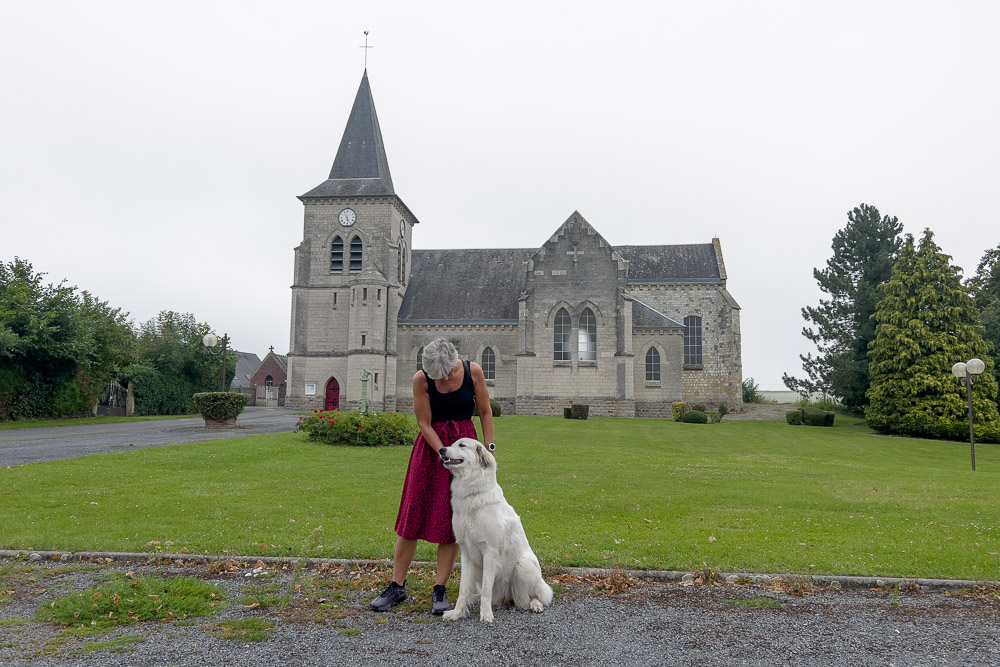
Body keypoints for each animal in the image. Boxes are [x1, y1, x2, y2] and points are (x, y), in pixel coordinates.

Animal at [436, 436, 552, 624]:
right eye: (451, 444)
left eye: (462, 445)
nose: (441, 450)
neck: (472, 494)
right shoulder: (466, 554)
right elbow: (463, 590)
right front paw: (457, 613)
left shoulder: (489, 551)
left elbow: (486, 590)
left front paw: (486, 614)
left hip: (523, 566)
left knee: (531, 598)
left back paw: (536, 605)